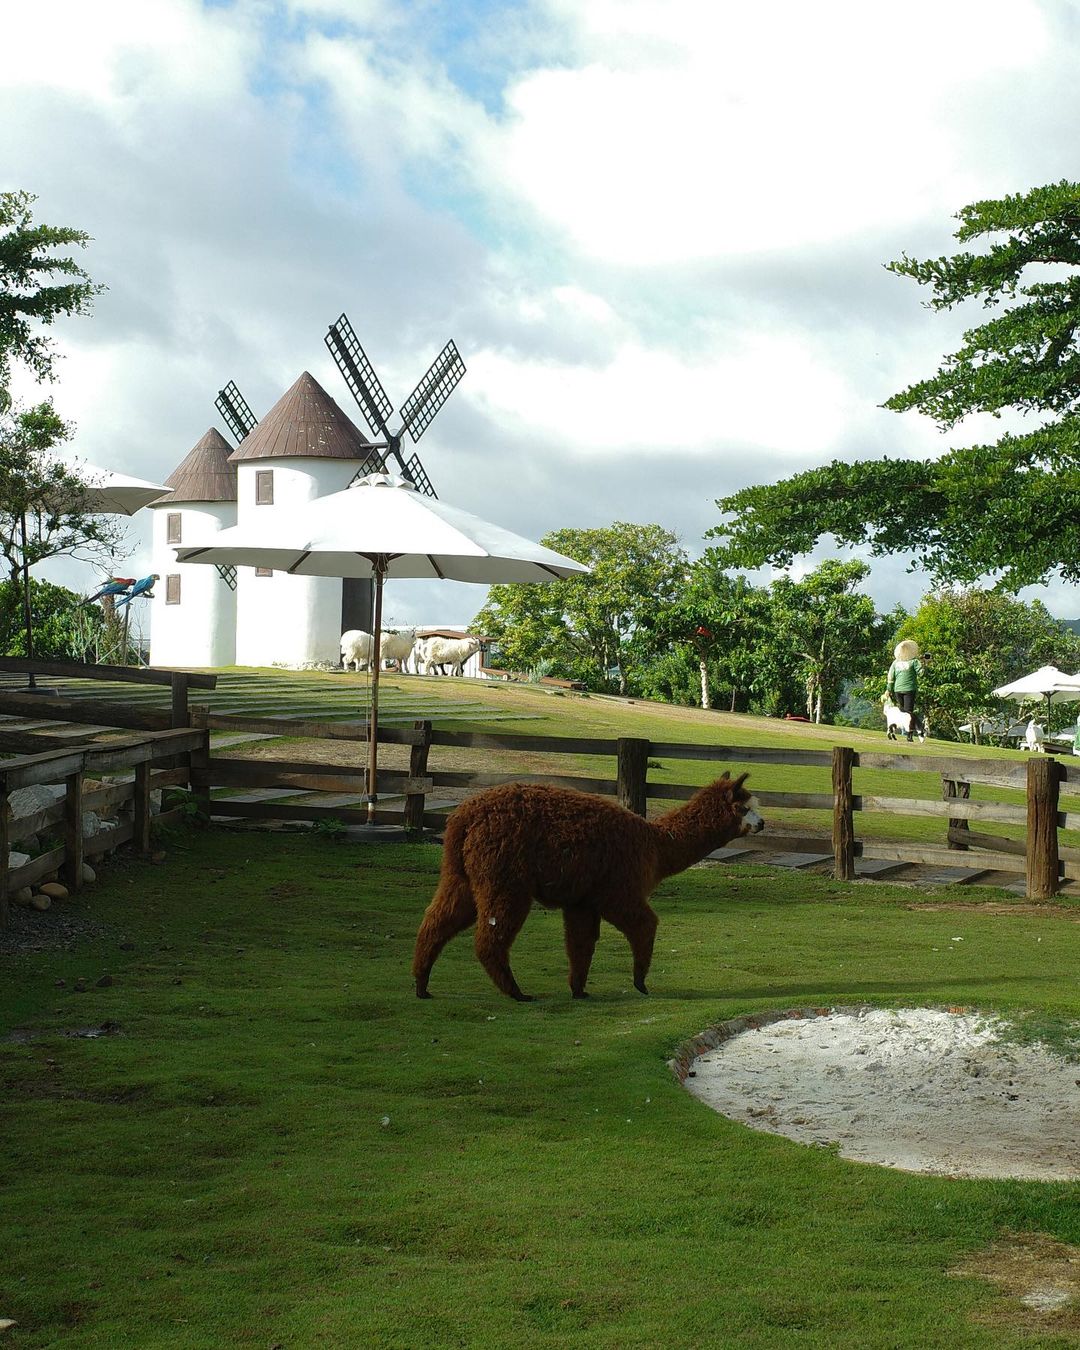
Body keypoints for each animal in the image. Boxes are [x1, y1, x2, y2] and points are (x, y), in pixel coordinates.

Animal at [410, 772, 761, 1004]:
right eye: (744, 808)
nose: (762, 824)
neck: (655, 845)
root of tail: (462, 817)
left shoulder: (583, 900)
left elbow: (581, 944)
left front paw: (579, 990)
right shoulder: (618, 890)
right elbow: (646, 925)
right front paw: (640, 983)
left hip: (462, 875)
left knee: (435, 921)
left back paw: (422, 984)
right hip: (505, 878)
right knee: (489, 938)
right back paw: (517, 993)